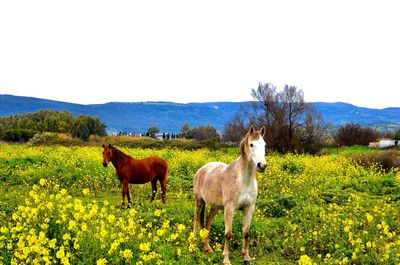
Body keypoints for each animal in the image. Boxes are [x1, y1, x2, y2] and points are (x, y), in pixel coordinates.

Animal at [193, 126, 268, 264]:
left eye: (264, 144)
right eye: (251, 144)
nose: (262, 165)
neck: (243, 181)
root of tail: (202, 169)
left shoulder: (249, 208)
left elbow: (246, 232)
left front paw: (246, 257)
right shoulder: (229, 208)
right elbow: (228, 234)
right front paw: (226, 259)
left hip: (215, 207)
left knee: (207, 223)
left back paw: (208, 248)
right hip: (199, 202)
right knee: (196, 221)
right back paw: (193, 244)